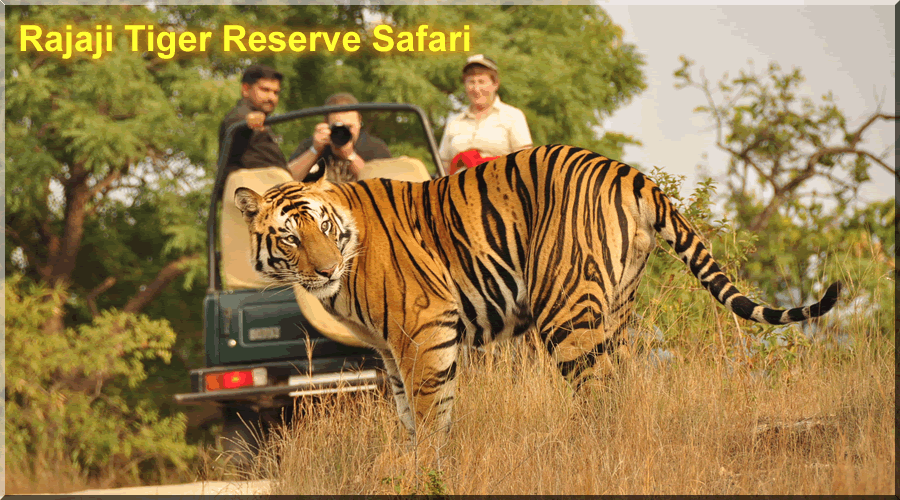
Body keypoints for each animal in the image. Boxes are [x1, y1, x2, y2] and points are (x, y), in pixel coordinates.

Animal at [236, 144, 840, 438]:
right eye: (290, 237)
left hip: (565, 310)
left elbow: (431, 414)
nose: (324, 270)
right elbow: (411, 414)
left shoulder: (424, 329)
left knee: (598, 393)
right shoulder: (390, 349)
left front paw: (430, 468)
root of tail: (631, 172)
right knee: (624, 386)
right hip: (617, 308)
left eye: (322, 227)